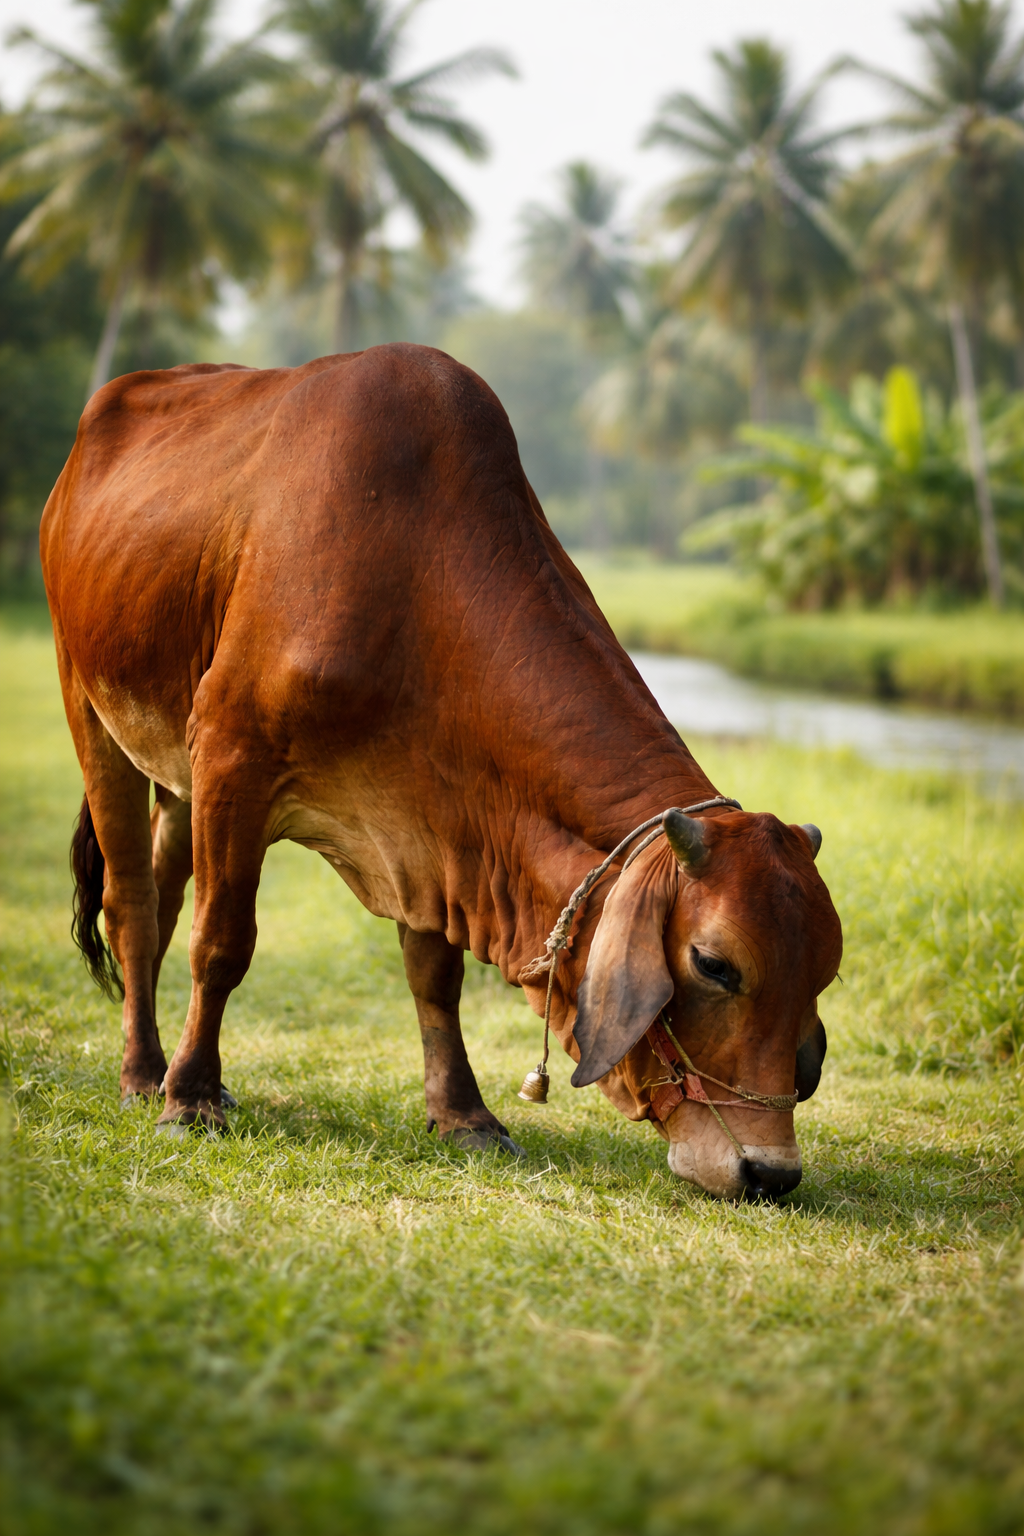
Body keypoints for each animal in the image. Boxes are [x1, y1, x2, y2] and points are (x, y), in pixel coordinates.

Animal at [41, 343, 842, 1201]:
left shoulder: (427, 825)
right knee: (132, 904)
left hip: (176, 778)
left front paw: (465, 1116)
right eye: (716, 966)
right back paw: (146, 1075)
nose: (769, 1171)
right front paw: (189, 1099)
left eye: (820, 975)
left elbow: (435, 977)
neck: (415, 584)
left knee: (158, 898)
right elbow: (222, 943)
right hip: (91, 710)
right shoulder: (232, 754)